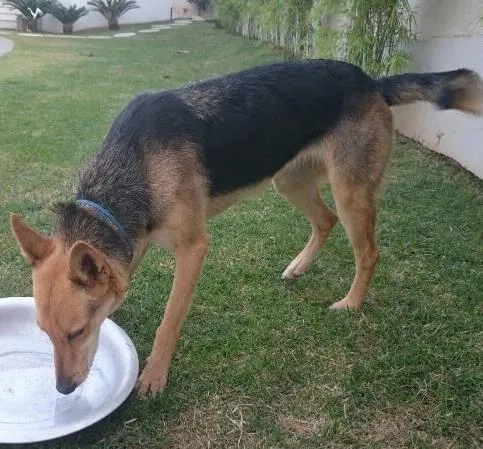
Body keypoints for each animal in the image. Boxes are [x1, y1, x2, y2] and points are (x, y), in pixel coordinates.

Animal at [9, 58, 482, 396]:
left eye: (76, 333)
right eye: (45, 334)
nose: (63, 390)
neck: (129, 170)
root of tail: (369, 81)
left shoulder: (193, 250)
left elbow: (169, 322)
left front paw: (155, 375)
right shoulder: (134, 240)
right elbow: (121, 279)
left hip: (350, 193)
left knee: (368, 250)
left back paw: (351, 303)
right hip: (288, 181)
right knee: (324, 220)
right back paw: (299, 267)